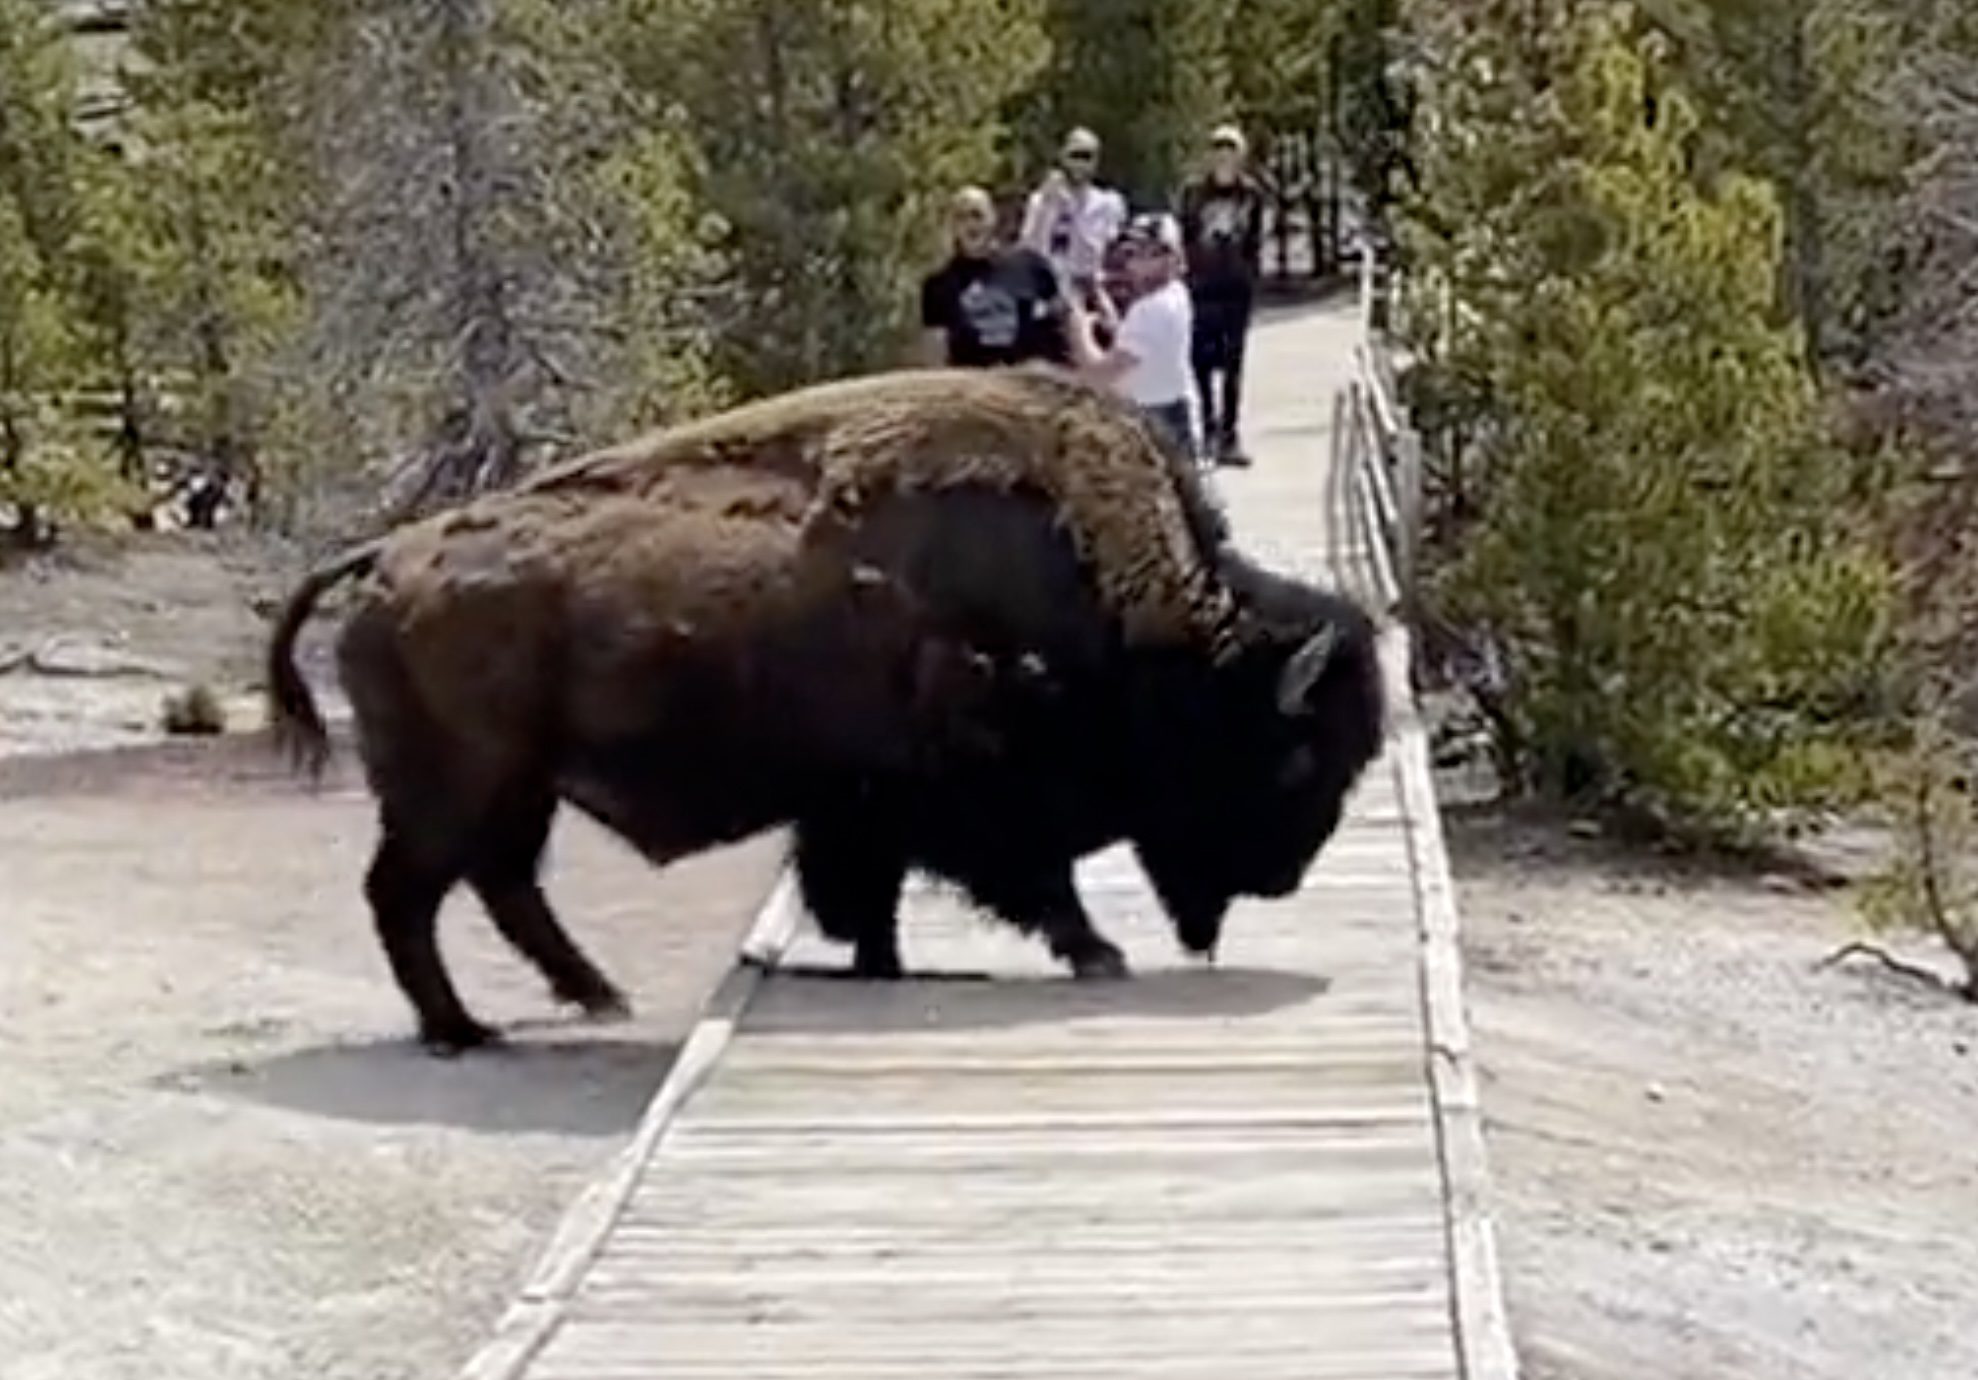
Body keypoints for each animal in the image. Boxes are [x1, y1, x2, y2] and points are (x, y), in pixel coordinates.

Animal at [265, 366, 1385, 1054]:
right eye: (1295, 758)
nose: (1281, 879)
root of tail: (385, 556)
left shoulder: (862, 812)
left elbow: (871, 891)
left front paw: (881, 962)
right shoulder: (961, 802)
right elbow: (1029, 882)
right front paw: (1097, 956)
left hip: (517, 790)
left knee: (498, 887)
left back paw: (593, 997)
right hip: (455, 790)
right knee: (408, 896)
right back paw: (463, 1032)